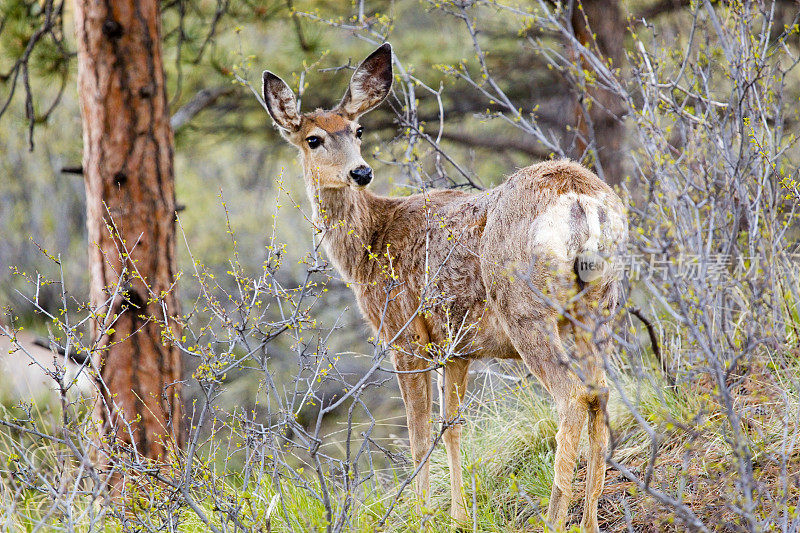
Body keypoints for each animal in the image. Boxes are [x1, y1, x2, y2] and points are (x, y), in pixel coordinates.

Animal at [266, 43, 628, 528]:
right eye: (314, 139)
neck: (369, 246)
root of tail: (579, 198)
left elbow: (419, 434)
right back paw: (588, 520)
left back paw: (553, 519)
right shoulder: (454, 348)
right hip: (600, 303)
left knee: (572, 397)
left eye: (358, 130)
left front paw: (419, 515)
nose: (360, 172)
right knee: (600, 393)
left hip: (525, 306)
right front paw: (458, 517)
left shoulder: (404, 334)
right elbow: (452, 426)